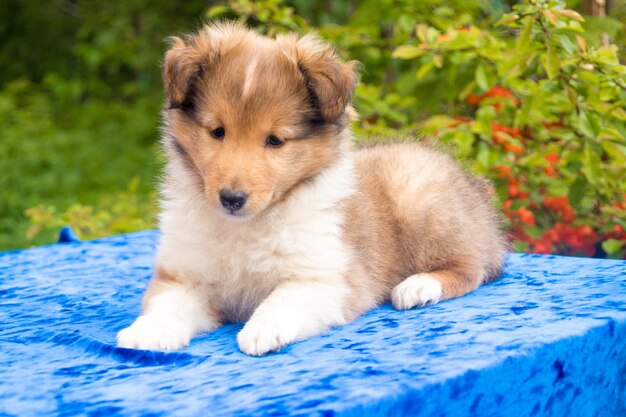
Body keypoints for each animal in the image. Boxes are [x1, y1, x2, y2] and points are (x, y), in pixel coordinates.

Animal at [118, 22, 508, 354]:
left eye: (275, 140)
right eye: (217, 131)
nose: (231, 199)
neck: (245, 228)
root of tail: (474, 187)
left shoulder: (326, 278)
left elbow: (283, 299)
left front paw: (262, 331)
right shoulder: (184, 276)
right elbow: (168, 303)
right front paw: (148, 331)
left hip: (419, 197)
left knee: (473, 266)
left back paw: (418, 286)